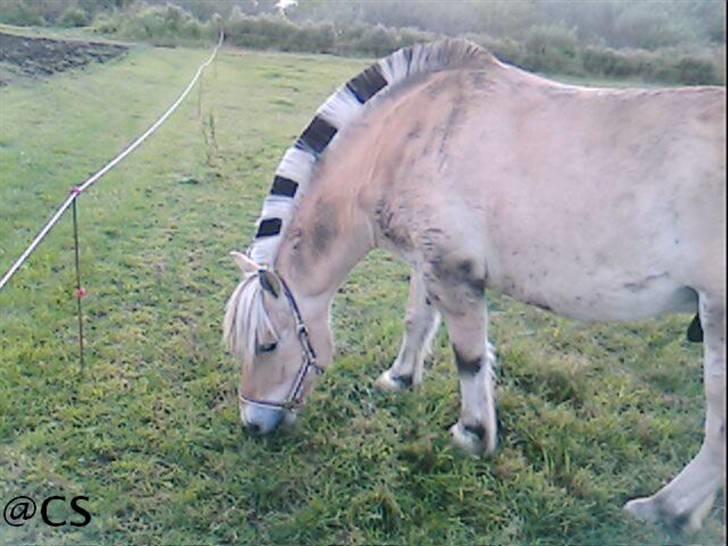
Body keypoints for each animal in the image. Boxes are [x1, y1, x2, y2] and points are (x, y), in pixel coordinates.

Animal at [223, 39, 725, 531]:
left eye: (267, 344)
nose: (252, 422)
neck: (405, 139)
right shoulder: (427, 262)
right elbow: (417, 321)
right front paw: (400, 379)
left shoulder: (454, 273)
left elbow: (469, 358)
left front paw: (472, 434)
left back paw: (664, 509)